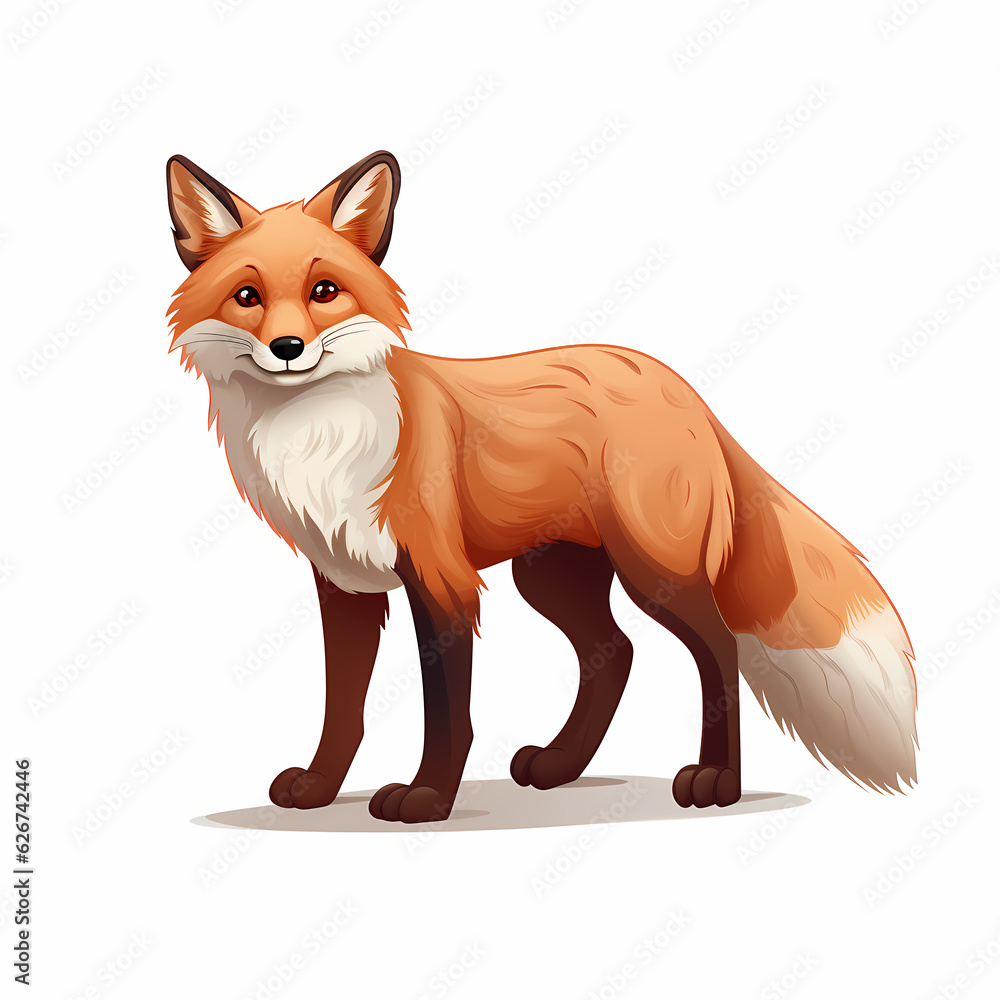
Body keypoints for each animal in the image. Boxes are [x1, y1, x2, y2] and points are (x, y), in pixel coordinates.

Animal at [165, 150, 918, 824]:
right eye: (247, 296)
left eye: (324, 291)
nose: (288, 348)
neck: (320, 436)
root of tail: (681, 387)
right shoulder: (344, 582)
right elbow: (342, 707)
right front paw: (320, 789)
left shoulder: (440, 577)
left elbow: (448, 712)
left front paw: (428, 800)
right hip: (551, 575)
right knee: (614, 655)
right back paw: (559, 766)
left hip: (654, 570)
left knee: (718, 647)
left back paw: (715, 782)